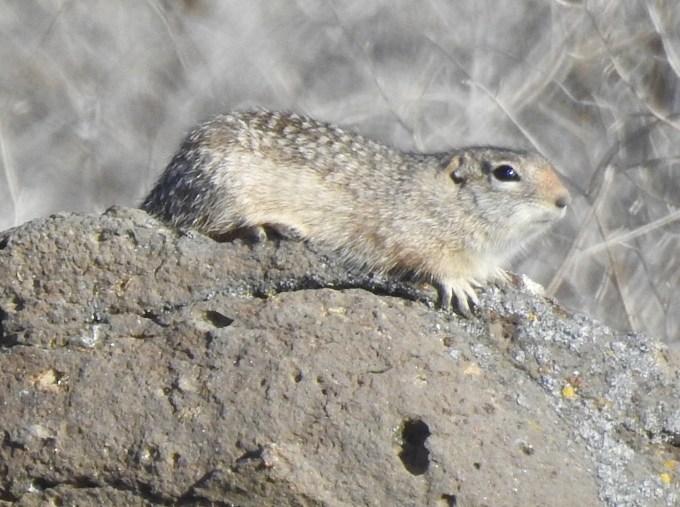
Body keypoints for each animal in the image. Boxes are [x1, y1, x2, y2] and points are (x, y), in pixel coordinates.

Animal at [141, 110, 570, 315]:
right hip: (219, 189)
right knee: (202, 223)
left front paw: (500, 274)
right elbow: (430, 262)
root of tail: (160, 188)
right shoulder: (411, 233)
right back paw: (270, 225)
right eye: (506, 173)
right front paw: (458, 286)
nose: (565, 199)